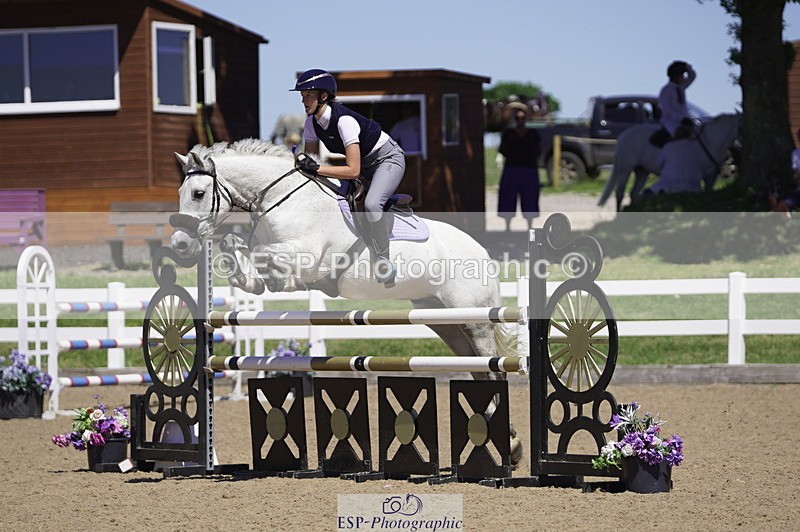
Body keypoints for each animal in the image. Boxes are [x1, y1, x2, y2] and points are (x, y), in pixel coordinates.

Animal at [169, 139, 523, 464]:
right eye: (181, 192)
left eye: (198, 193)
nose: (181, 246)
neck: (282, 199)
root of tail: (482, 252)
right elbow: (244, 259)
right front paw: (247, 268)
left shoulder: (307, 255)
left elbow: (263, 254)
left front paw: (270, 273)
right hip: (445, 322)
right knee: (478, 371)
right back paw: (507, 440)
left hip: (476, 321)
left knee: (494, 372)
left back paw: (511, 444)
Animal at [598, 114, 741, 211]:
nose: (728, 173)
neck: (709, 141)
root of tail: (622, 137)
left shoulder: (710, 179)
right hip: (625, 170)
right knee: (620, 194)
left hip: (642, 172)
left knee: (634, 194)